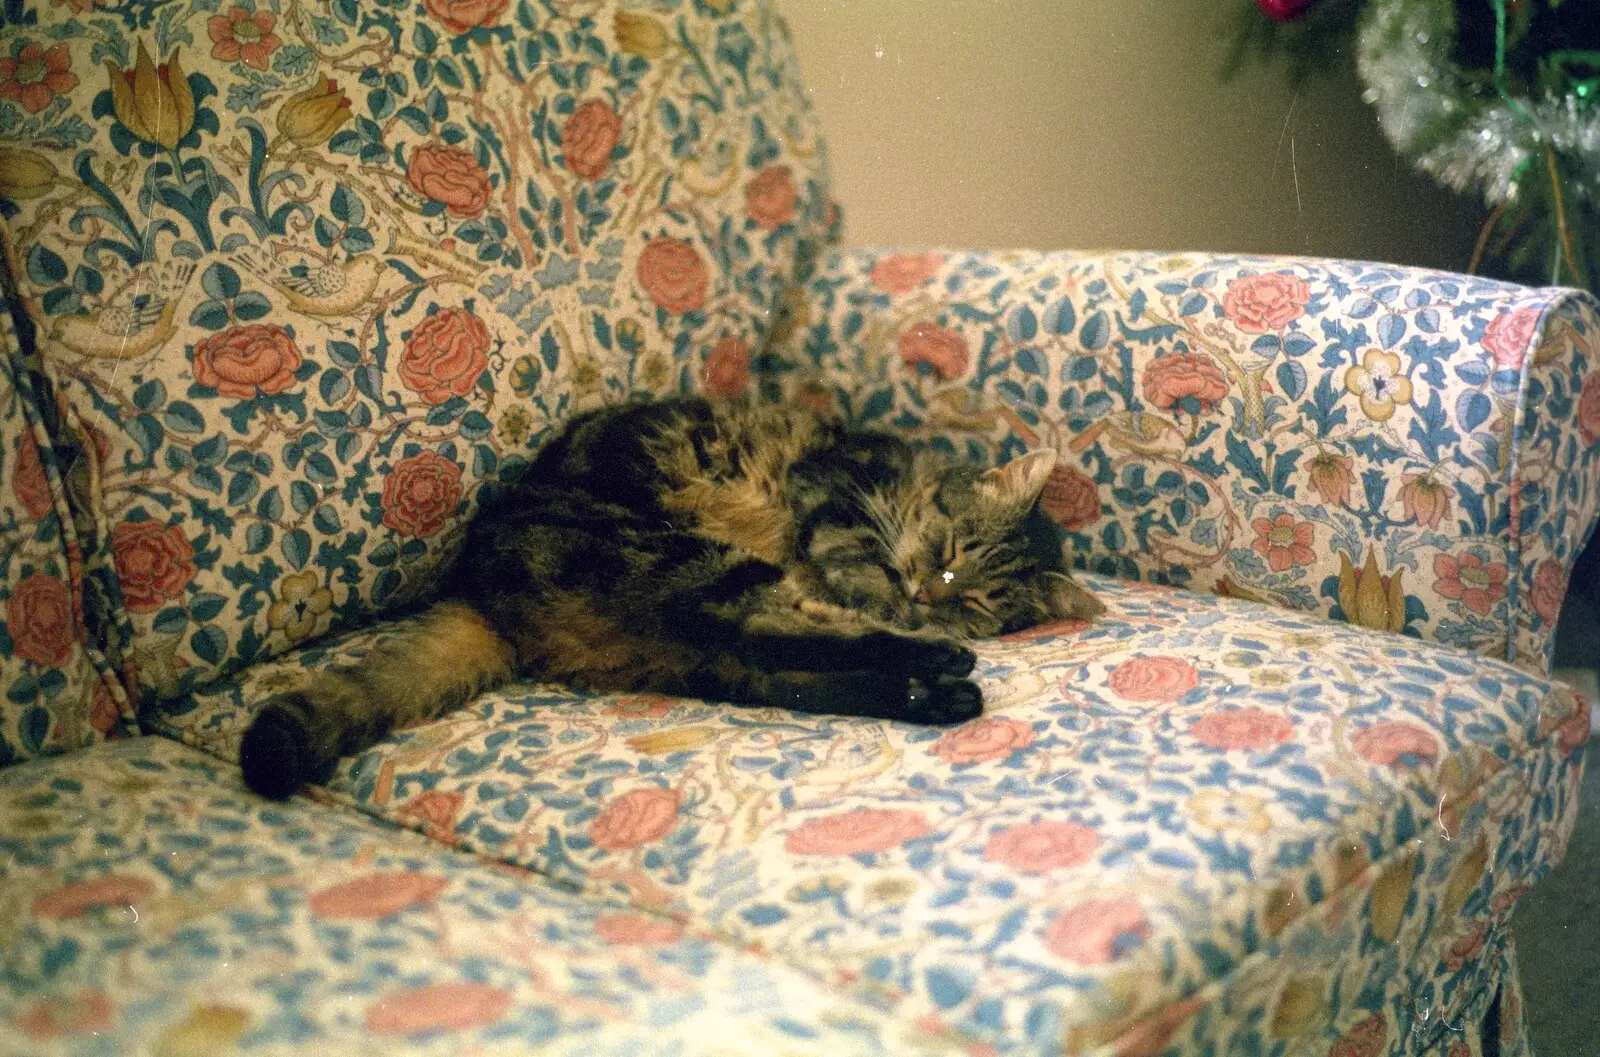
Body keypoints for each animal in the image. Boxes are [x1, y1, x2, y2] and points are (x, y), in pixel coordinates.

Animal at [243, 393, 1107, 793]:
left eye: (978, 598)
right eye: (953, 551)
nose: (935, 598)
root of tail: (480, 588)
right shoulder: (835, 497)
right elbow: (858, 562)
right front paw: (894, 601)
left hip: (698, 627)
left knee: (778, 664)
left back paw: (935, 688)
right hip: (687, 558)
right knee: (770, 632)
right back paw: (936, 664)